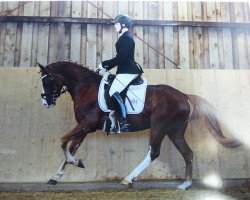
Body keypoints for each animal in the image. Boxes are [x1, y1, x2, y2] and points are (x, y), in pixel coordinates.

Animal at [37, 61, 240, 191]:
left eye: (46, 81)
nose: (46, 103)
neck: (86, 88)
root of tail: (184, 95)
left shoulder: (87, 124)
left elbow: (62, 141)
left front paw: (76, 163)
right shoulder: (84, 127)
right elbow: (71, 147)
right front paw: (56, 177)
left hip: (159, 126)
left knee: (154, 152)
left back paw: (128, 179)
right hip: (174, 131)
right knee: (187, 153)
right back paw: (184, 185)